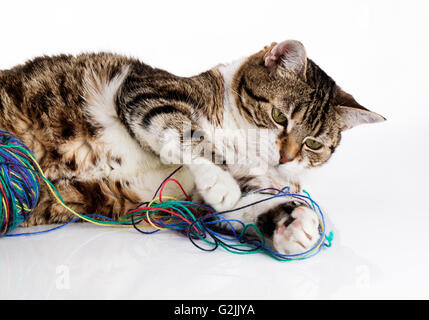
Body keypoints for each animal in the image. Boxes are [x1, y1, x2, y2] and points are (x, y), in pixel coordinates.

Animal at [0, 40, 384, 255]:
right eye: (279, 116)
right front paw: (219, 178)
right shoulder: (147, 91)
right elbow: (189, 136)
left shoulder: (181, 197)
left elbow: (243, 205)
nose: (286, 156)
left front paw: (293, 220)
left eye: (313, 143)